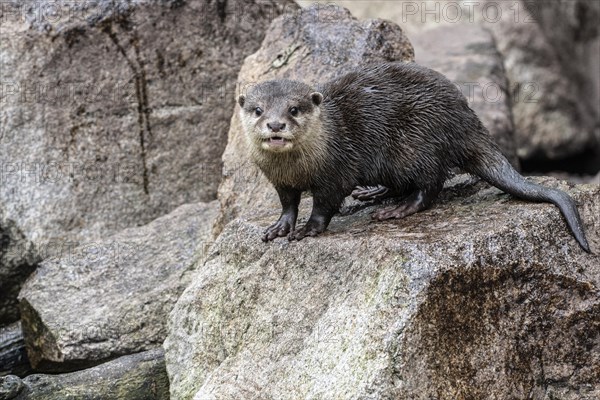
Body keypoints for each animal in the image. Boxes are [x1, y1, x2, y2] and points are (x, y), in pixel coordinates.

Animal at [238, 62, 592, 252]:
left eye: (294, 109)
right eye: (258, 110)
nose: (275, 124)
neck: (299, 168)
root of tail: (464, 119)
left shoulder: (336, 170)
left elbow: (325, 204)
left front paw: (308, 229)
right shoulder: (279, 181)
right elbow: (288, 203)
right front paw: (280, 227)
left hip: (415, 144)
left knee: (431, 183)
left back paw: (398, 208)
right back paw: (374, 193)